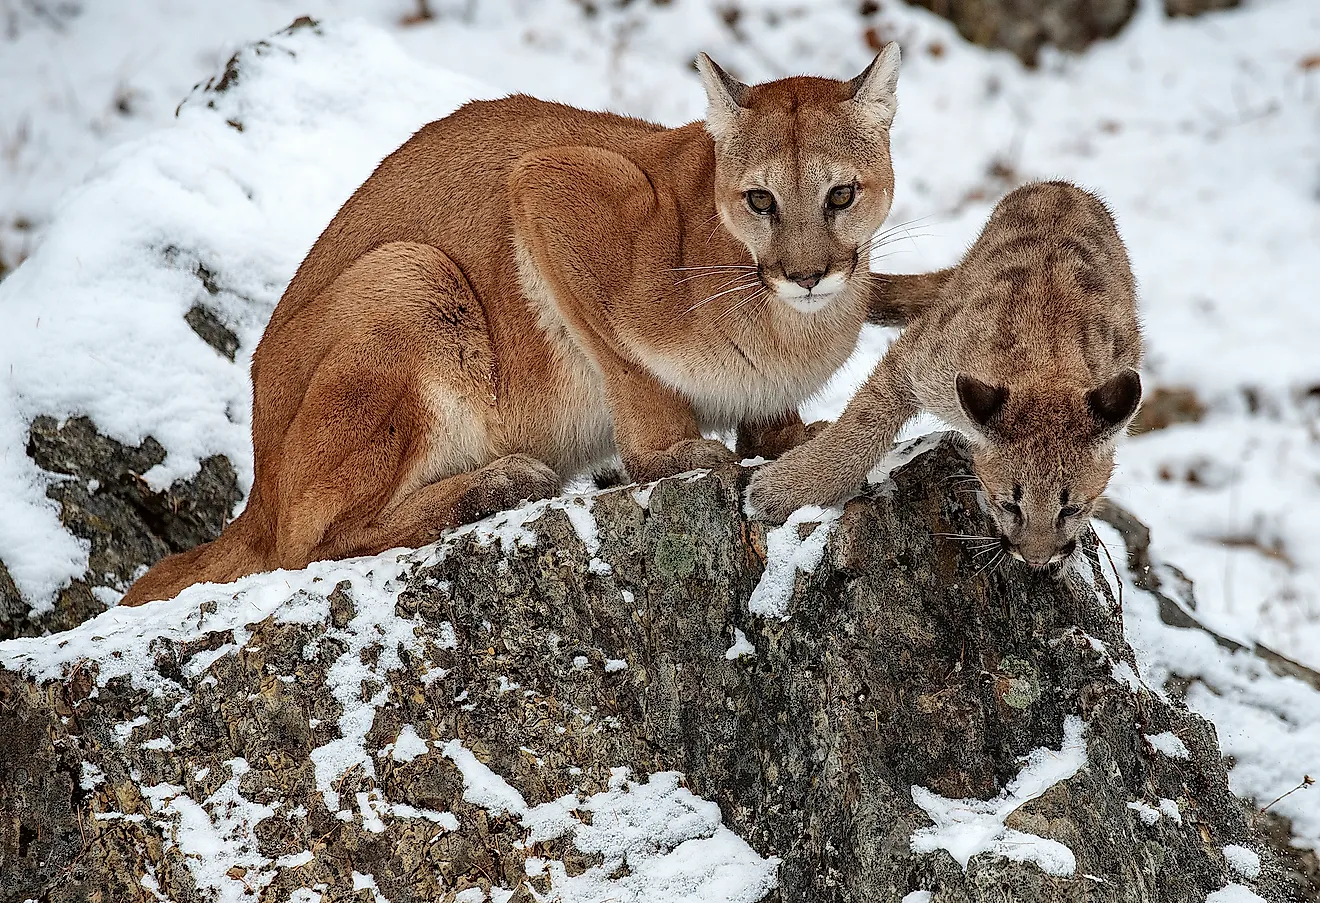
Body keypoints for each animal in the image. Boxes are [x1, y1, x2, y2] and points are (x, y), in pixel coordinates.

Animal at [121, 44, 929, 607]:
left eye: (841, 194)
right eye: (761, 200)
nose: (807, 274)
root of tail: (256, 484)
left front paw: (788, 439)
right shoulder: (549, 187)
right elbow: (628, 365)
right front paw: (671, 454)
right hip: (414, 274)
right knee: (305, 542)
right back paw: (500, 481)